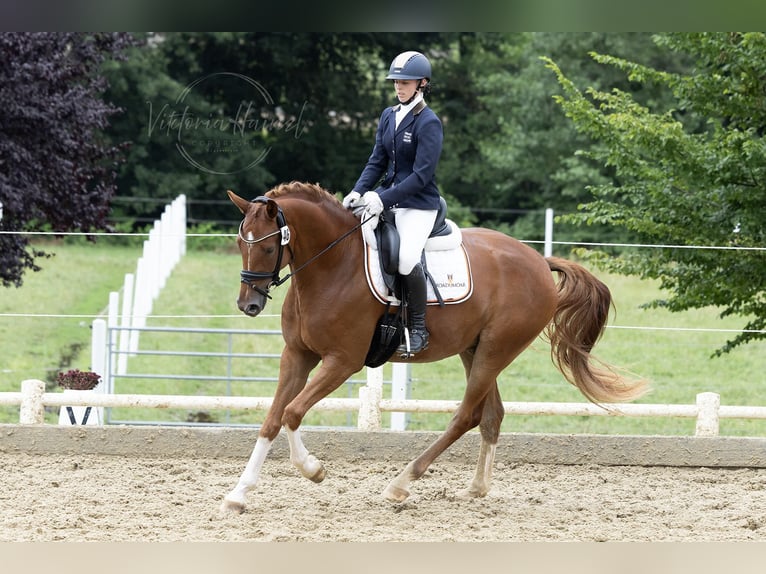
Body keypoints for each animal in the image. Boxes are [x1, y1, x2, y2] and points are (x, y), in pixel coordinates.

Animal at [222, 182, 648, 516]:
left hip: (496, 349)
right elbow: (272, 419)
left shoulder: (342, 362)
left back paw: (400, 483)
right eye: (241, 243)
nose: (248, 305)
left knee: (466, 415)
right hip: (474, 349)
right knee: (491, 415)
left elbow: (292, 412)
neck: (332, 265)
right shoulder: (297, 355)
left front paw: (313, 469)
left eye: (266, 248)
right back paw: (475, 488)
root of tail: (540, 262)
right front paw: (239, 494)